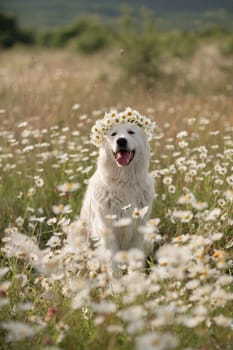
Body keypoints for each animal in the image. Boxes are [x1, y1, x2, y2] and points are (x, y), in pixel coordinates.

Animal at [80, 108, 155, 262]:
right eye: (113, 134)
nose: (121, 141)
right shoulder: (108, 234)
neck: (125, 182)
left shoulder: (138, 232)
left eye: (131, 132)